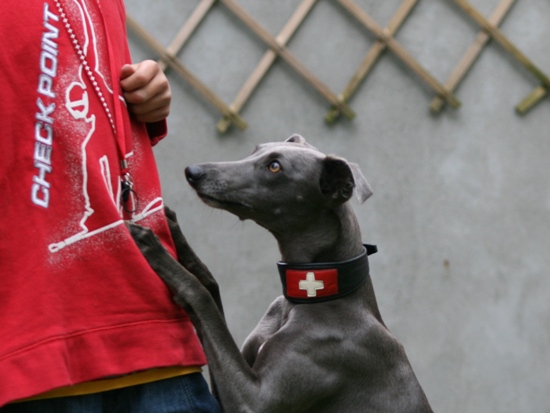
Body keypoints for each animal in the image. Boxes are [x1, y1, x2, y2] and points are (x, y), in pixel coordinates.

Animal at [128, 135, 433, 412]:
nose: (192, 172)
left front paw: (153, 247)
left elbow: (202, 297)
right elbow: (210, 286)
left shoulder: (256, 400)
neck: (318, 295)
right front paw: (172, 232)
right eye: (256, 149)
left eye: (275, 166)